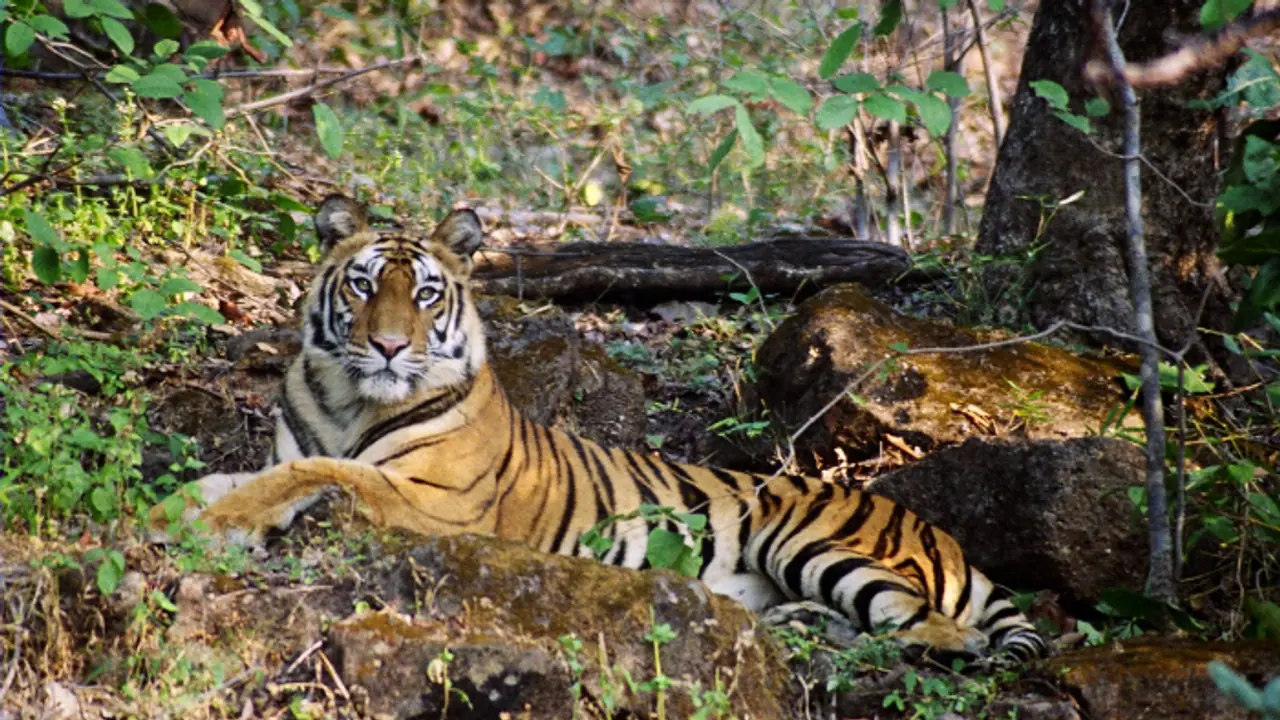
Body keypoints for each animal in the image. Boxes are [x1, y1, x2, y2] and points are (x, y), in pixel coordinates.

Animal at [150, 194, 1047, 662]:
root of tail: (946, 536)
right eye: (365, 285)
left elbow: (320, 474)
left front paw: (223, 522)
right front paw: (172, 512)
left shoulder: (437, 501)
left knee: (937, 631)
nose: (390, 345)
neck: (349, 397)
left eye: (427, 294)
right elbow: (237, 475)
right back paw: (787, 623)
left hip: (814, 542)